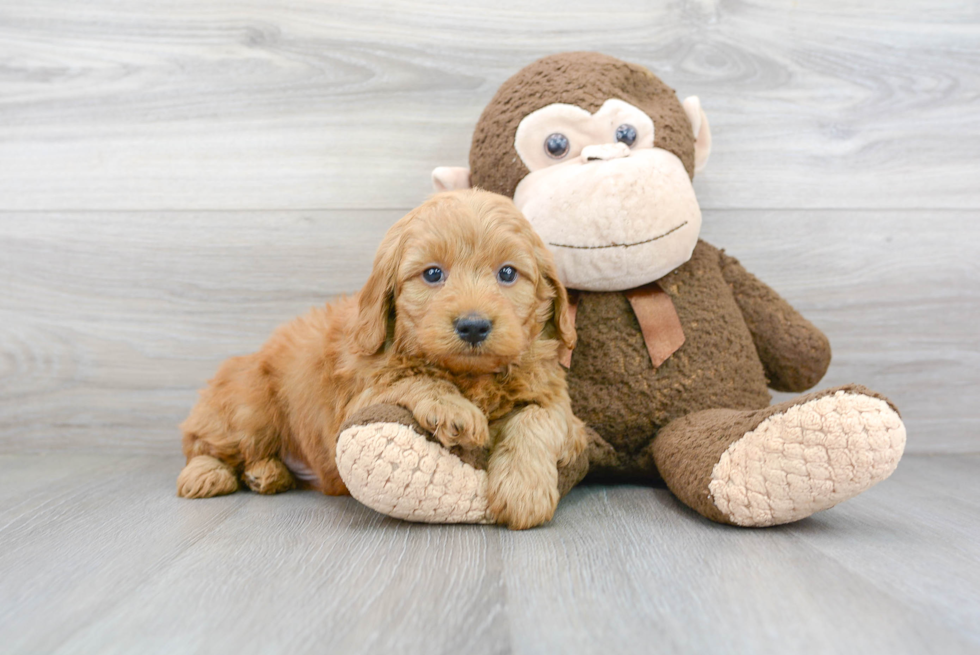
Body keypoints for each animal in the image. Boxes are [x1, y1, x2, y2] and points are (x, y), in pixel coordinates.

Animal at [178, 188, 580, 528]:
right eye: (433, 273)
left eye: (508, 273)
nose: (473, 326)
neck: (470, 376)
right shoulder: (357, 397)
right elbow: (410, 377)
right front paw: (453, 409)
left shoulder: (558, 402)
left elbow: (536, 418)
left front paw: (524, 490)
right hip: (248, 407)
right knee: (202, 443)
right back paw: (207, 474)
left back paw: (268, 474)